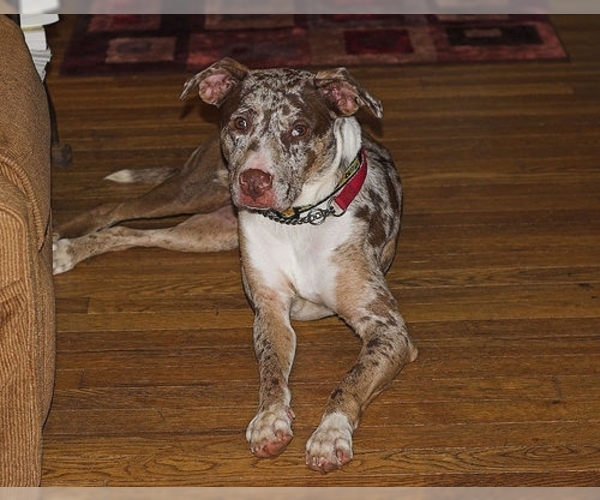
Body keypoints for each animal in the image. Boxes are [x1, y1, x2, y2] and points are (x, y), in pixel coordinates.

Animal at [54, 58, 420, 472]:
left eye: (299, 129)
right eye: (241, 122)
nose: (253, 181)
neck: (298, 221)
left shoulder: (387, 329)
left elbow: (351, 380)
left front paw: (330, 433)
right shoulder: (269, 312)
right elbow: (272, 373)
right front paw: (270, 419)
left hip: (205, 232)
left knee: (130, 232)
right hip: (193, 192)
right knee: (114, 210)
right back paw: (61, 243)